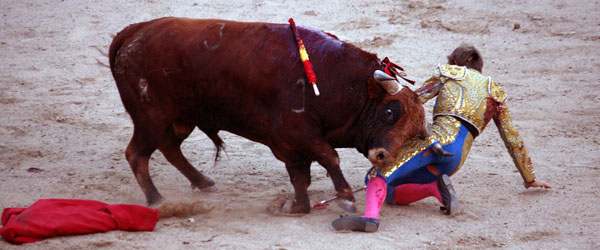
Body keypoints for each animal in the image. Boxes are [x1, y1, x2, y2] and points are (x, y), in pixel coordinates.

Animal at [109, 17, 426, 213]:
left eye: (415, 132)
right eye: (389, 112)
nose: (383, 155)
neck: (339, 83)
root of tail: (133, 32)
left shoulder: (293, 144)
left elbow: (301, 174)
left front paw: (297, 206)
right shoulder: (295, 134)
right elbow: (328, 158)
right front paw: (346, 199)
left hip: (180, 119)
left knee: (170, 148)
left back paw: (202, 182)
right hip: (150, 117)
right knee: (137, 153)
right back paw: (157, 200)